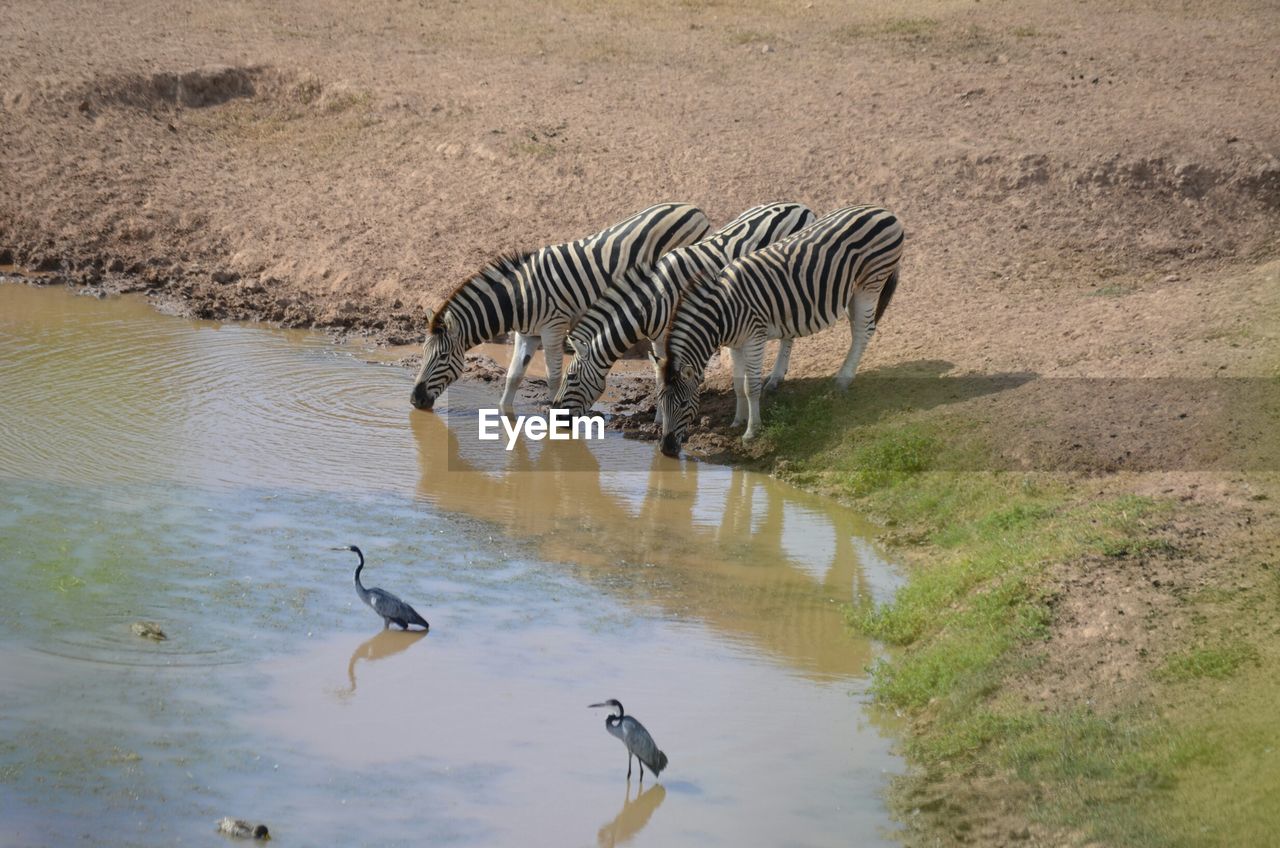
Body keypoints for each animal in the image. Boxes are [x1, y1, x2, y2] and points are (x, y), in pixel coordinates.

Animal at [409, 206, 711, 417]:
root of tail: (693, 208)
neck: (520, 297)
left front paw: (553, 408)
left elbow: (553, 376)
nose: (414, 400)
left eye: (442, 357)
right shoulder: (527, 334)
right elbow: (514, 376)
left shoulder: (553, 327)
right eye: (422, 353)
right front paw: (505, 413)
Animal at [552, 202, 814, 422]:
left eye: (571, 378)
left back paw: (776, 377)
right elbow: (659, 374)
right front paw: (660, 418)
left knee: (789, 334)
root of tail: (800, 206)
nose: (556, 414)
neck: (655, 300)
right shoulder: (657, 339)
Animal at [660, 206, 901, 458]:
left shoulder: (754, 338)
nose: (666, 450)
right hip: (855, 289)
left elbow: (750, 387)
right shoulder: (735, 344)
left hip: (870, 283)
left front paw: (751, 431)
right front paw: (738, 421)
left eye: (684, 404)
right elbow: (737, 385)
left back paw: (842, 381)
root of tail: (883, 211)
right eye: (660, 403)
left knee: (864, 331)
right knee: (859, 329)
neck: (722, 314)